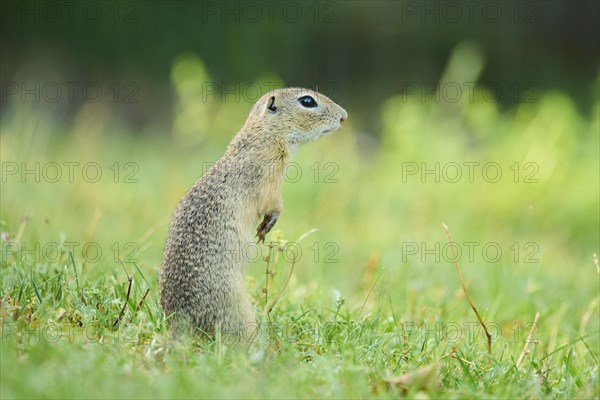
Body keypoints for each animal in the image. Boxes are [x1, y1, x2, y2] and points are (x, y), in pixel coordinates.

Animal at [159, 87, 346, 338]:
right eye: (307, 101)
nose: (344, 116)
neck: (264, 135)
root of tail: (179, 326)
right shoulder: (269, 179)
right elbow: (273, 203)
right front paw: (268, 223)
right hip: (237, 310)